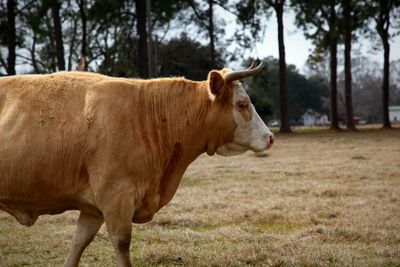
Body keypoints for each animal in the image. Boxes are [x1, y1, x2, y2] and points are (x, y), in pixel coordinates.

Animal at [0, 61, 274, 266]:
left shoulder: (93, 208)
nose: (270, 137)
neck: (149, 115)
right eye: (242, 104)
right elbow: (121, 243)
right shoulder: (116, 197)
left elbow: (79, 244)